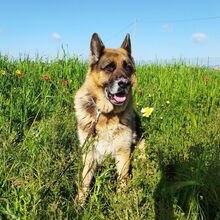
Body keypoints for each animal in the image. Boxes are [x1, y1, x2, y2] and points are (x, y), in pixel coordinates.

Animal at [74, 32, 139, 205]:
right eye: (109, 67)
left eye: (128, 67)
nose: (125, 83)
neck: (105, 114)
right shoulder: (89, 154)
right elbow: (84, 182)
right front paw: (79, 204)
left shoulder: (123, 153)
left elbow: (122, 181)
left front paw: (121, 203)